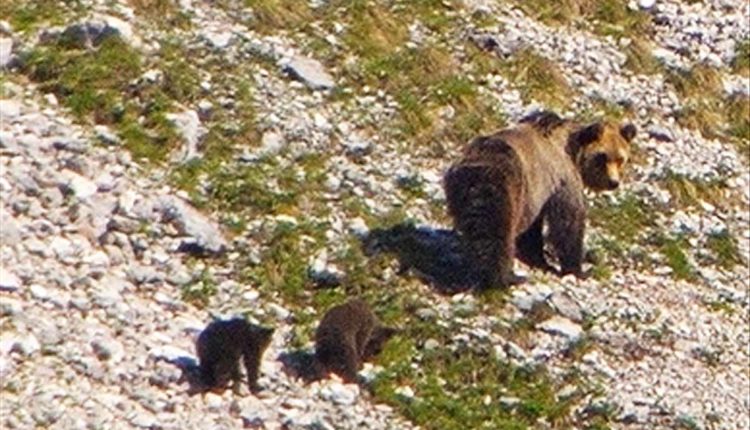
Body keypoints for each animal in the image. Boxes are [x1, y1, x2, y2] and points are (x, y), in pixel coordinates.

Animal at [443, 110, 636, 289]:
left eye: (620, 159)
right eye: (602, 157)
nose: (613, 182)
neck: (573, 152)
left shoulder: (536, 193)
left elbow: (534, 227)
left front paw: (536, 257)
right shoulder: (562, 177)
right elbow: (568, 221)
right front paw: (578, 269)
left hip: (460, 192)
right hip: (506, 185)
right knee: (497, 230)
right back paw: (508, 277)